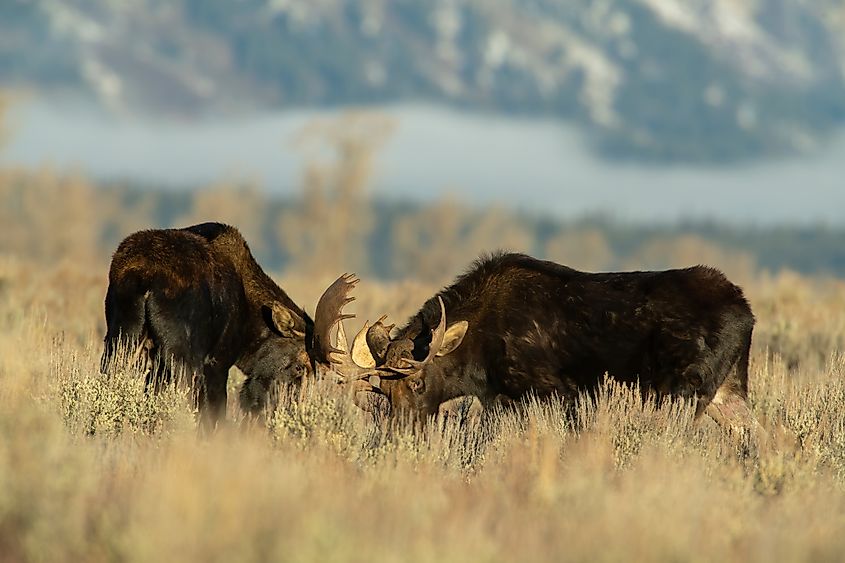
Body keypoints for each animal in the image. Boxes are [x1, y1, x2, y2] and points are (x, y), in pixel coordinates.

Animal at [101, 222, 321, 429]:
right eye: (300, 367)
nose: (287, 407)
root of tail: (145, 277)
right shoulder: (217, 363)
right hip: (183, 356)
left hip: (121, 339)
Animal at [314, 252, 756, 429]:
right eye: (384, 392)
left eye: (419, 383)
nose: (399, 431)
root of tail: (747, 311)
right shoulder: (499, 397)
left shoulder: (555, 392)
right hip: (728, 390)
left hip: (687, 391)